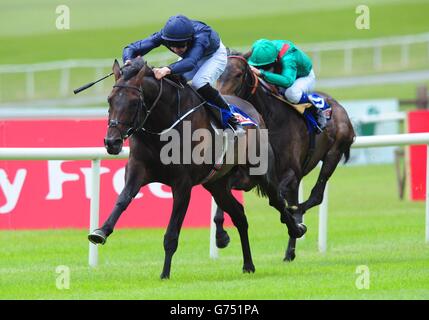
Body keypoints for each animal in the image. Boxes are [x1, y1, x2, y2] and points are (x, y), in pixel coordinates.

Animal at [88, 58, 306, 278]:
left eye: (134, 102)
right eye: (109, 99)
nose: (112, 142)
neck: (162, 129)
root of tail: (252, 110)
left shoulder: (182, 184)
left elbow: (172, 234)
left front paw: (165, 274)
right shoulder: (137, 168)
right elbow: (123, 198)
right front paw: (101, 231)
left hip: (260, 170)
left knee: (276, 200)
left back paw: (296, 229)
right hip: (217, 184)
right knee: (239, 215)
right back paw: (248, 265)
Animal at [217, 51, 354, 262]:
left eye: (239, 74)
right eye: (218, 72)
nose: (222, 98)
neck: (270, 119)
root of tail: (337, 106)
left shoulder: (290, 173)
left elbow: (279, 199)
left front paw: (293, 221)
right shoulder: (244, 177)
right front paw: (221, 236)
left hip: (333, 154)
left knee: (315, 195)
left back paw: (296, 223)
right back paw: (290, 250)